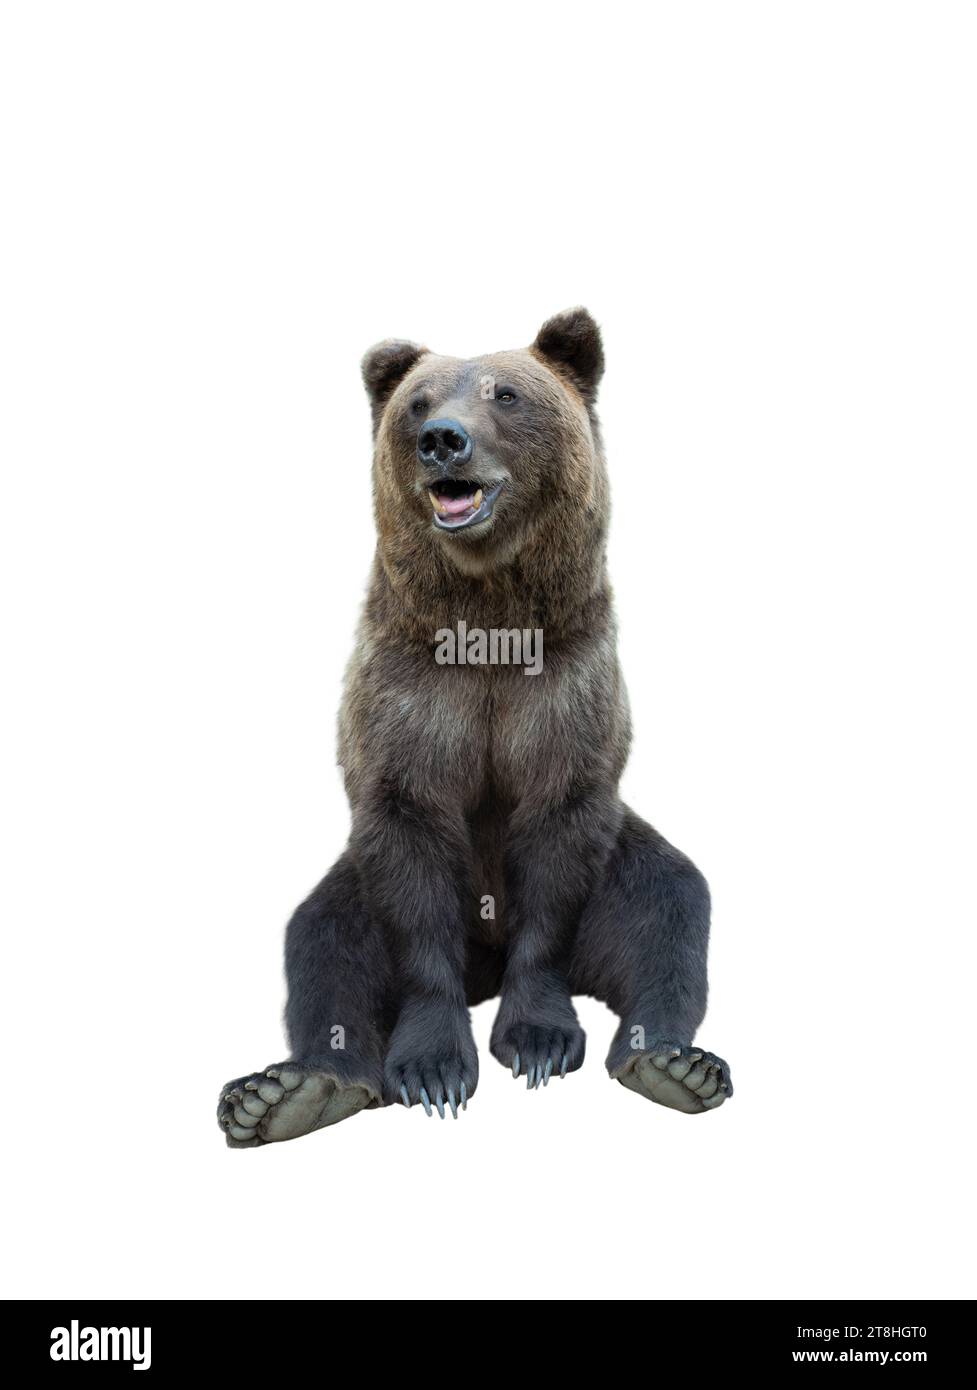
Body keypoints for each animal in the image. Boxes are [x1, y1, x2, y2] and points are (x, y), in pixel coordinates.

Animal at [217, 308, 732, 1144]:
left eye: (507, 393)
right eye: (418, 403)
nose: (442, 439)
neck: (489, 618)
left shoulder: (564, 686)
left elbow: (559, 842)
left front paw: (539, 1039)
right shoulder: (408, 694)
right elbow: (410, 852)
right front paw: (433, 1068)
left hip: (627, 867)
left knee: (670, 904)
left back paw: (672, 1065)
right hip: (349, 886)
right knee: (324, 944)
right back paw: (291, 1092)